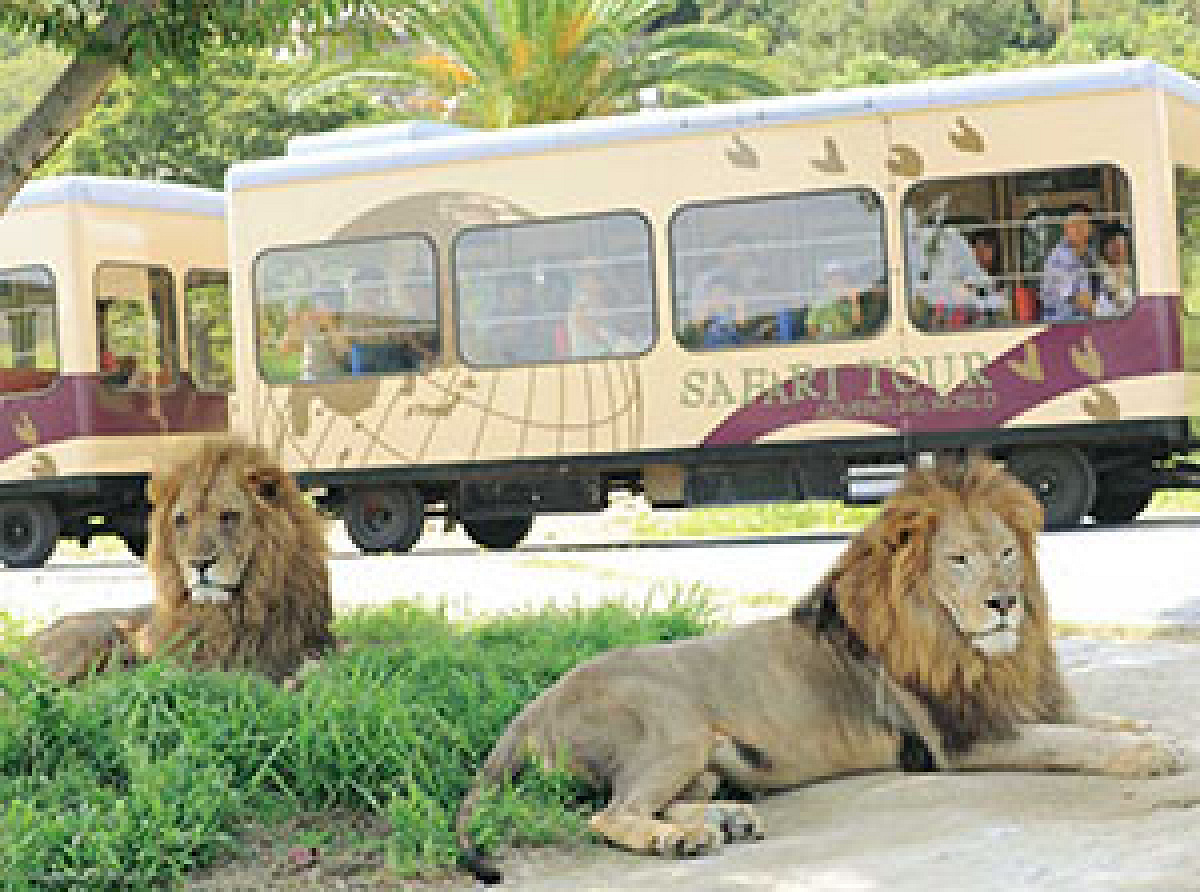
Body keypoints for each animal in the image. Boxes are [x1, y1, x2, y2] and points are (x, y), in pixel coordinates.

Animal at [30, 439, 336, 681]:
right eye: (181, 520)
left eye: (228, 516)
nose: (199, 564)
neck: (231, 611)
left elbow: (317, 664)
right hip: (97, 632)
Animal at [456, 456, 1180, 883]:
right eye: (958, 561)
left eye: (1006, 552)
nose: (1006, 603)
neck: (970, 647)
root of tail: (534, 706)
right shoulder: (962, 742)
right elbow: (1073, 740)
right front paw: (1148, 755)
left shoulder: (1015, 702)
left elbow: (1098, 719)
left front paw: (1156, 733)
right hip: (675, 727)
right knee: (608, 815)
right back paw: (678, 843)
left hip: (701, 756)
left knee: (650, 800)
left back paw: (724, 822)